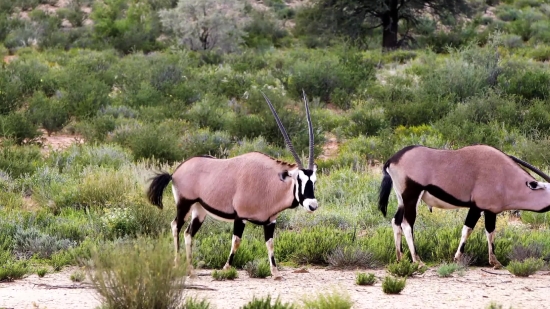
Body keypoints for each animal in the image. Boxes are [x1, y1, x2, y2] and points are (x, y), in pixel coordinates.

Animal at [148, 91, 320, 280]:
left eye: (314, 181)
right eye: (299, 179)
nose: (313, 205)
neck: (269, 182)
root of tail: (175, 173)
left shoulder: (270, 221)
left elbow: (270, 244)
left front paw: (275, 273)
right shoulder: (240, 217)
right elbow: (236, 241)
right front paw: (225, 268)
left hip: (199, 210)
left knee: (188, 233)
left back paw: (191, 271)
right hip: (184, 204)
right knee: (175, 226)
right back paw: (177, 265)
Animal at [382, 144, 550, 268]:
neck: (506, 176)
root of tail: (393, 159)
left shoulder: (489, 211)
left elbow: (489, 232)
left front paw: (494, 261)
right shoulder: (478, 207)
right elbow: (469, 230)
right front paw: (459, 258)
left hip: (401, 200)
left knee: (396, 221)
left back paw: (400, 258)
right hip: (411, 197)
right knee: (407, 224)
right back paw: (418, 260)